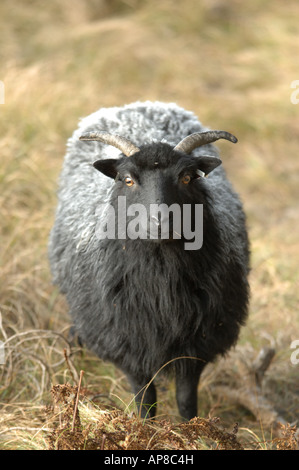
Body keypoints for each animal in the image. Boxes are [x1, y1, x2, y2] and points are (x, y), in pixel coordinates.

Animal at [49, 102, 251, 418]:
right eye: (128, 179)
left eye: (187, 177)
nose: (162, 222)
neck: (160, 279)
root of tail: (140, 105)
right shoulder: (128, 342)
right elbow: (145, 401)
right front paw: (147, 426)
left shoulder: (198, 342)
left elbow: (186, 399)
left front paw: (191, 427)